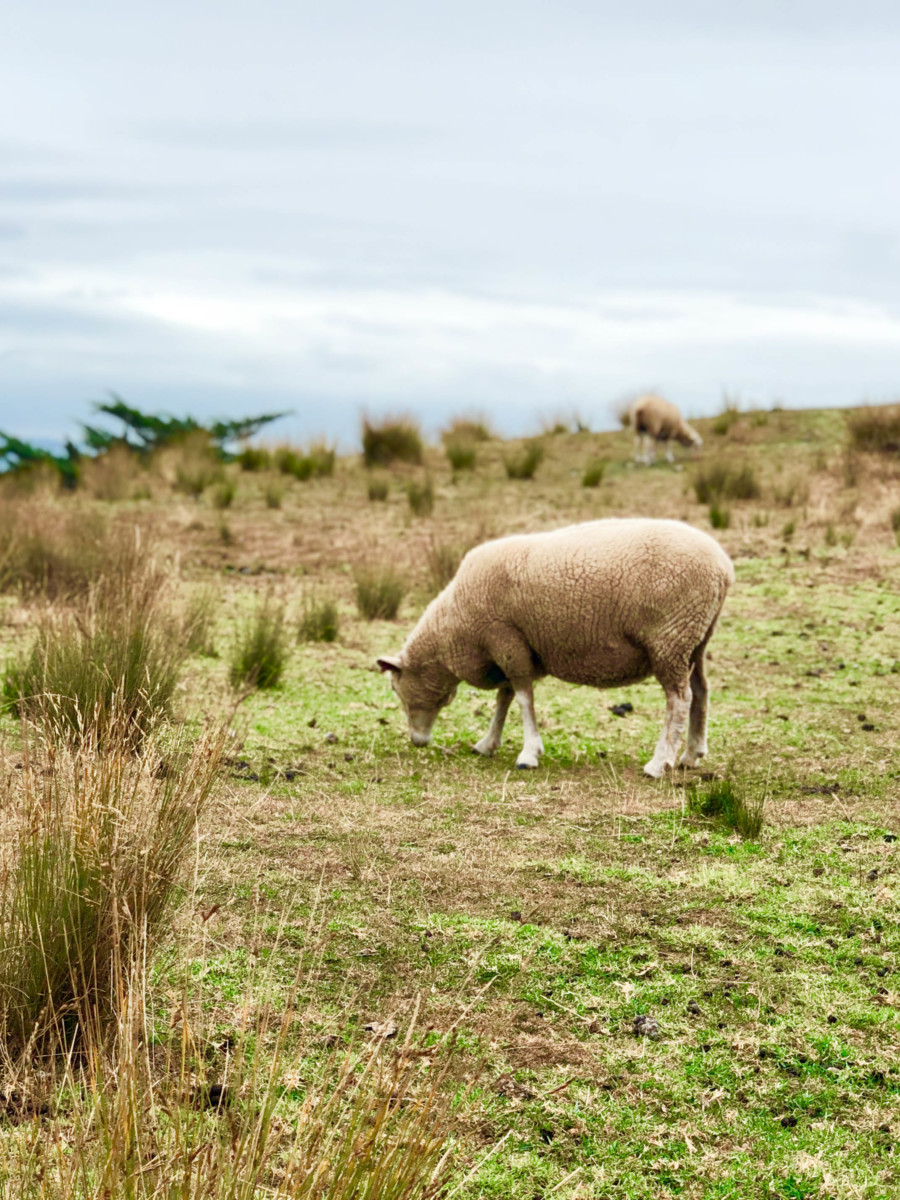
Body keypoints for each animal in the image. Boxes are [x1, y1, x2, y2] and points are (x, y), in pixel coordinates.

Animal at [376, 516, 734, 777]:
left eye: (395, 688)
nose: (417, 741)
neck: (453, 626)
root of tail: (724, 567)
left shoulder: (505, 639)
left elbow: (522, 698)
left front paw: (528, 753)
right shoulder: (513, 647)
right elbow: (504, 698)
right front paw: (488, 743)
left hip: (670, 638)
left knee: (679, 699)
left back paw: (660, 763)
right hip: (695, 637)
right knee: (701, 691)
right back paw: (691, 754)